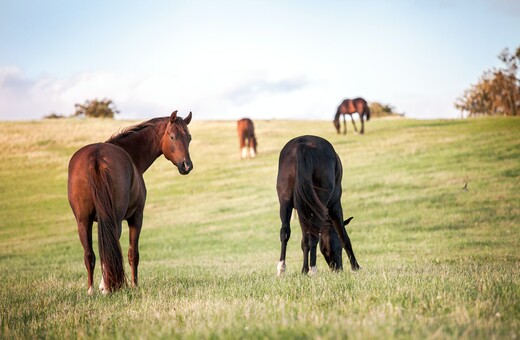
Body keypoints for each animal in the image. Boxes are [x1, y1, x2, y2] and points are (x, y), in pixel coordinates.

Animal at [67, 110, 193, 294]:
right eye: (172, 136)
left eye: (189, 138)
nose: (187, 165)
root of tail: (96, 157)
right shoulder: (136, 217)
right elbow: (133, 254)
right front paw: (133, 284)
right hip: (115, 219)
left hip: (83, 221)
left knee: (90, 254)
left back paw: (92, 290)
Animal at [276, 134, 358, 274]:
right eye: (339, 247)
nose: (338, 268)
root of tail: (303, 145)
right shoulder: (335, 206)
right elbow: (343, 236)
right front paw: (355, 267)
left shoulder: (302, 210)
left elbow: (304, 241)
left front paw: (304, 270)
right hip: (322, 201)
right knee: (314, 234)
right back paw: (313, 269)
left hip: (285, 202)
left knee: (285, 231)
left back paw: (282, 268)